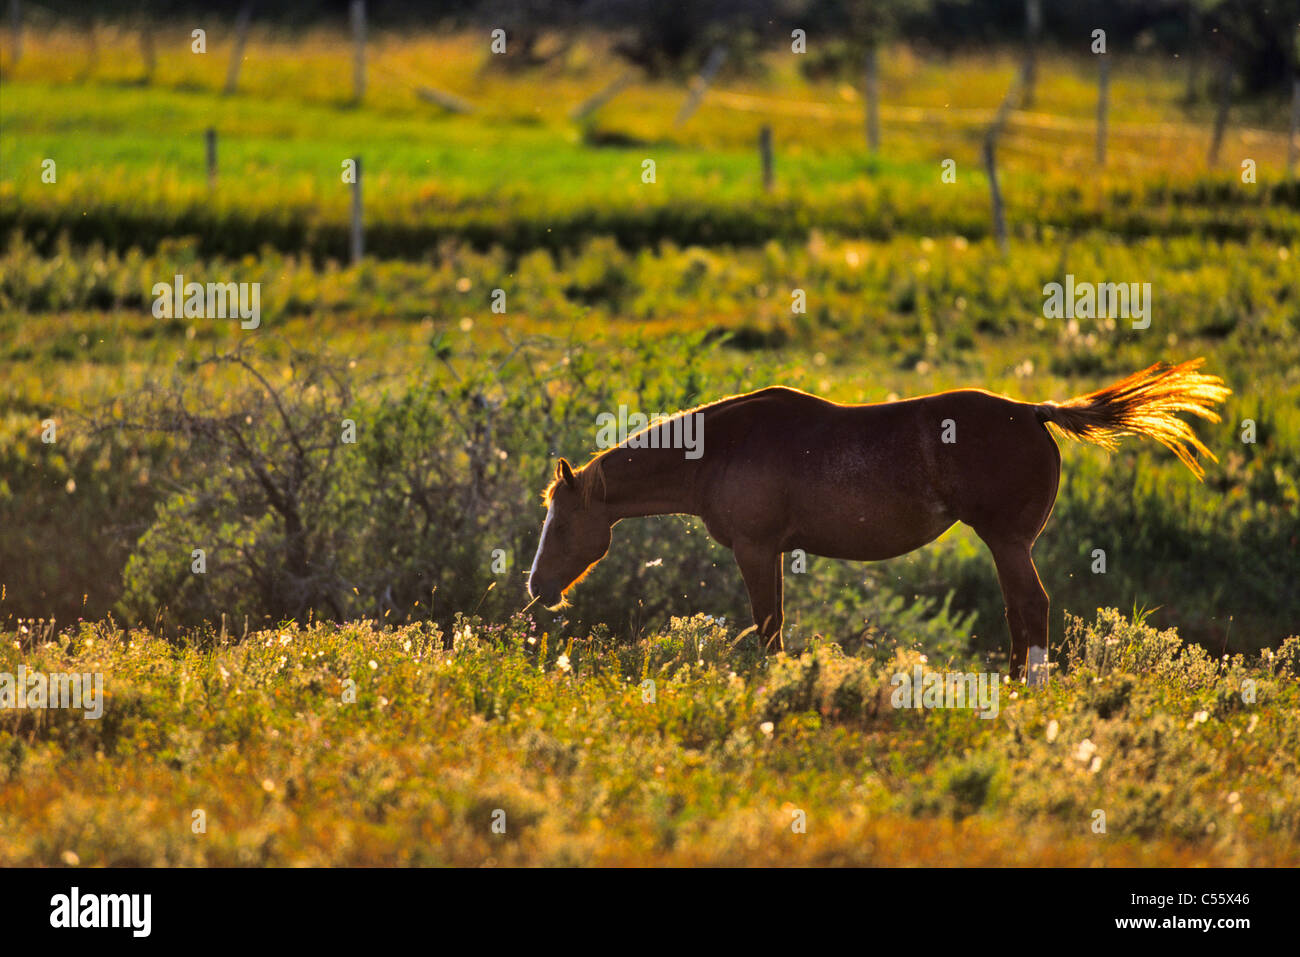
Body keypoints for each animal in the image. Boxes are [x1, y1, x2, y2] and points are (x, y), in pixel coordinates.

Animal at [527, 361, 1227, 681]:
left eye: (559, 525)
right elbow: (773, 626)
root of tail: (1033, 411)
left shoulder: (754, 549)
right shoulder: (771, 553)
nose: (536, 588)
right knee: (1018, 611)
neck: (723, 448)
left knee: (1031, 607)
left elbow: (768, 628)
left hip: (1006, 542)